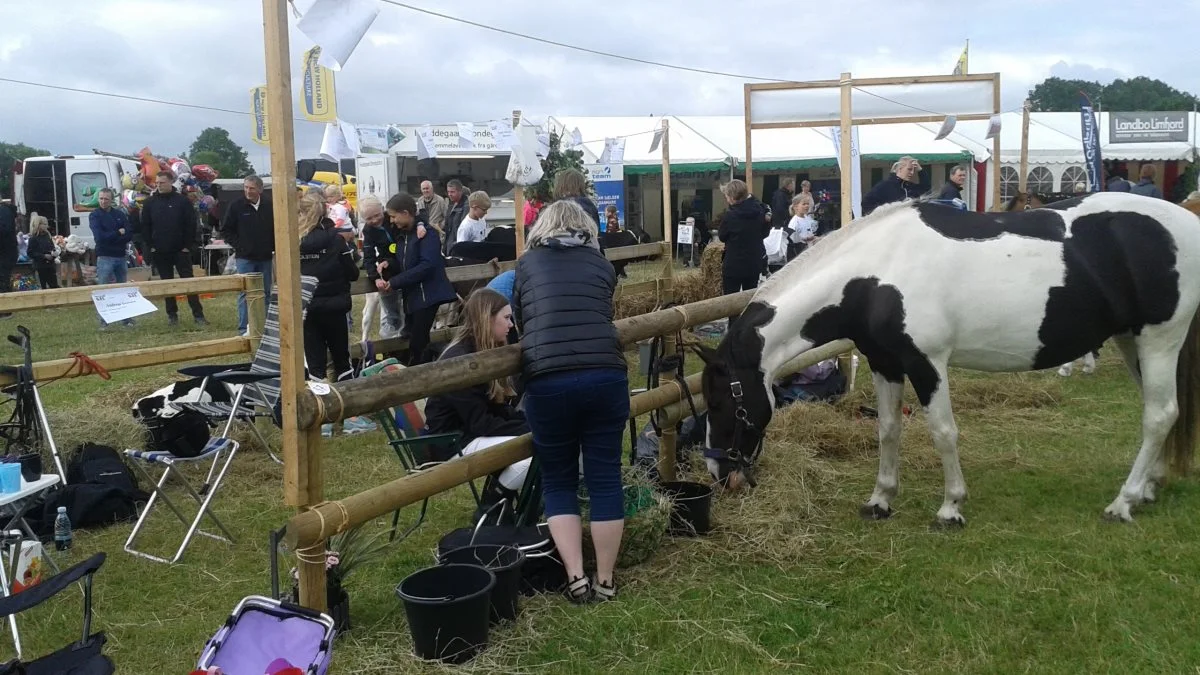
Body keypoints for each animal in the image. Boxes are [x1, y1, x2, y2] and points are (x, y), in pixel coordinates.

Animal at [696, 192, 1200, 523]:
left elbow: (943, 432)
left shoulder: (928, 364)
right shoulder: (884, 363)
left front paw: (951, 506)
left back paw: (1124, 501)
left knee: (1158, 415)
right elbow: (888, 430)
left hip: (1160, 340)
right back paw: (1149, 488)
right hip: (1132, 342)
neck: (875, 274)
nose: (718, 472)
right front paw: (881, 500)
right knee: (1161, 413)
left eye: (721, 402)